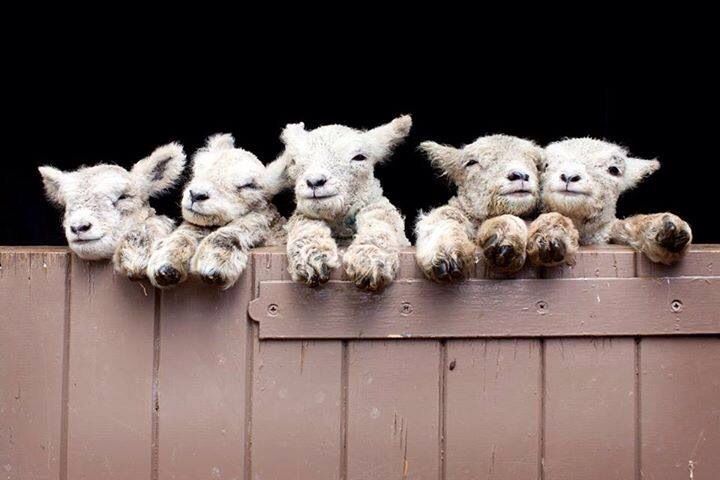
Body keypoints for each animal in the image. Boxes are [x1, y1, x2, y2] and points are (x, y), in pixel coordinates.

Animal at [146, 134, 286, 289]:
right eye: (199, 169)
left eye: (249, 185)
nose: (196, 195)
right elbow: (185, 232)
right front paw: (166, 265)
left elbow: (244, 224)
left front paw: (214, 264)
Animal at [271, 115, 412, 291]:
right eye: (294, 161)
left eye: (359, 157)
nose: (314, 181)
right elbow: (303, 222)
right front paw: (312, 257)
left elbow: (381, 218)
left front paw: (370, 259)